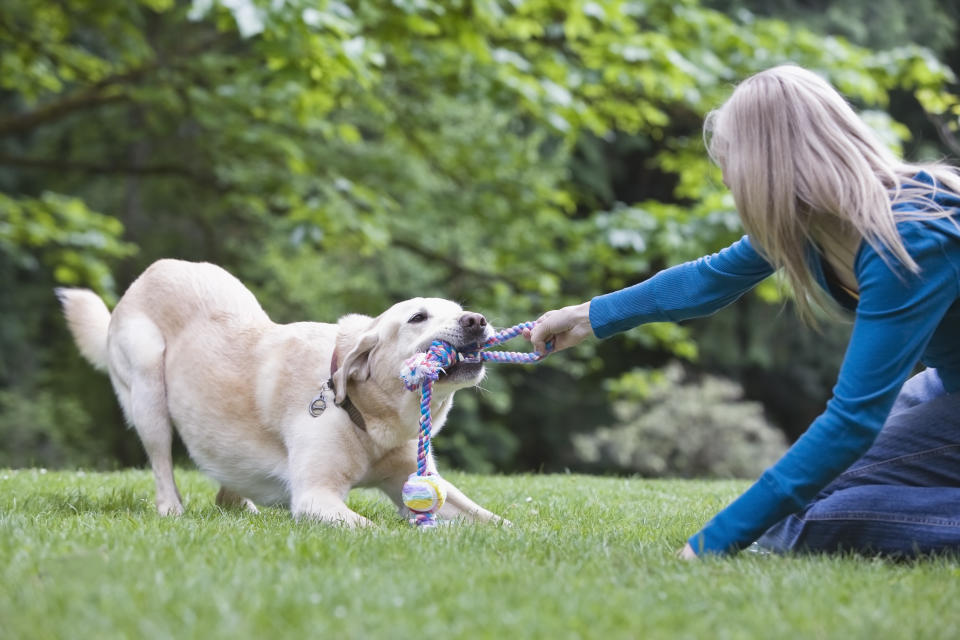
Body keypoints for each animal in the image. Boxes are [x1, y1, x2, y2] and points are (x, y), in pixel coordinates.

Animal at [54, 258, 502, 524]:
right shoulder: (314, 496)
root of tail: (151, 271)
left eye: (459, 309)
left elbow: (490, 519)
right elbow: (374, 528)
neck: (367, 415)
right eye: (417, 317)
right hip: (149, 390)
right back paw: (173, 510)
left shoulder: (419, 479)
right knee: (162, 464)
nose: (477, 320)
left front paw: (513, 537)